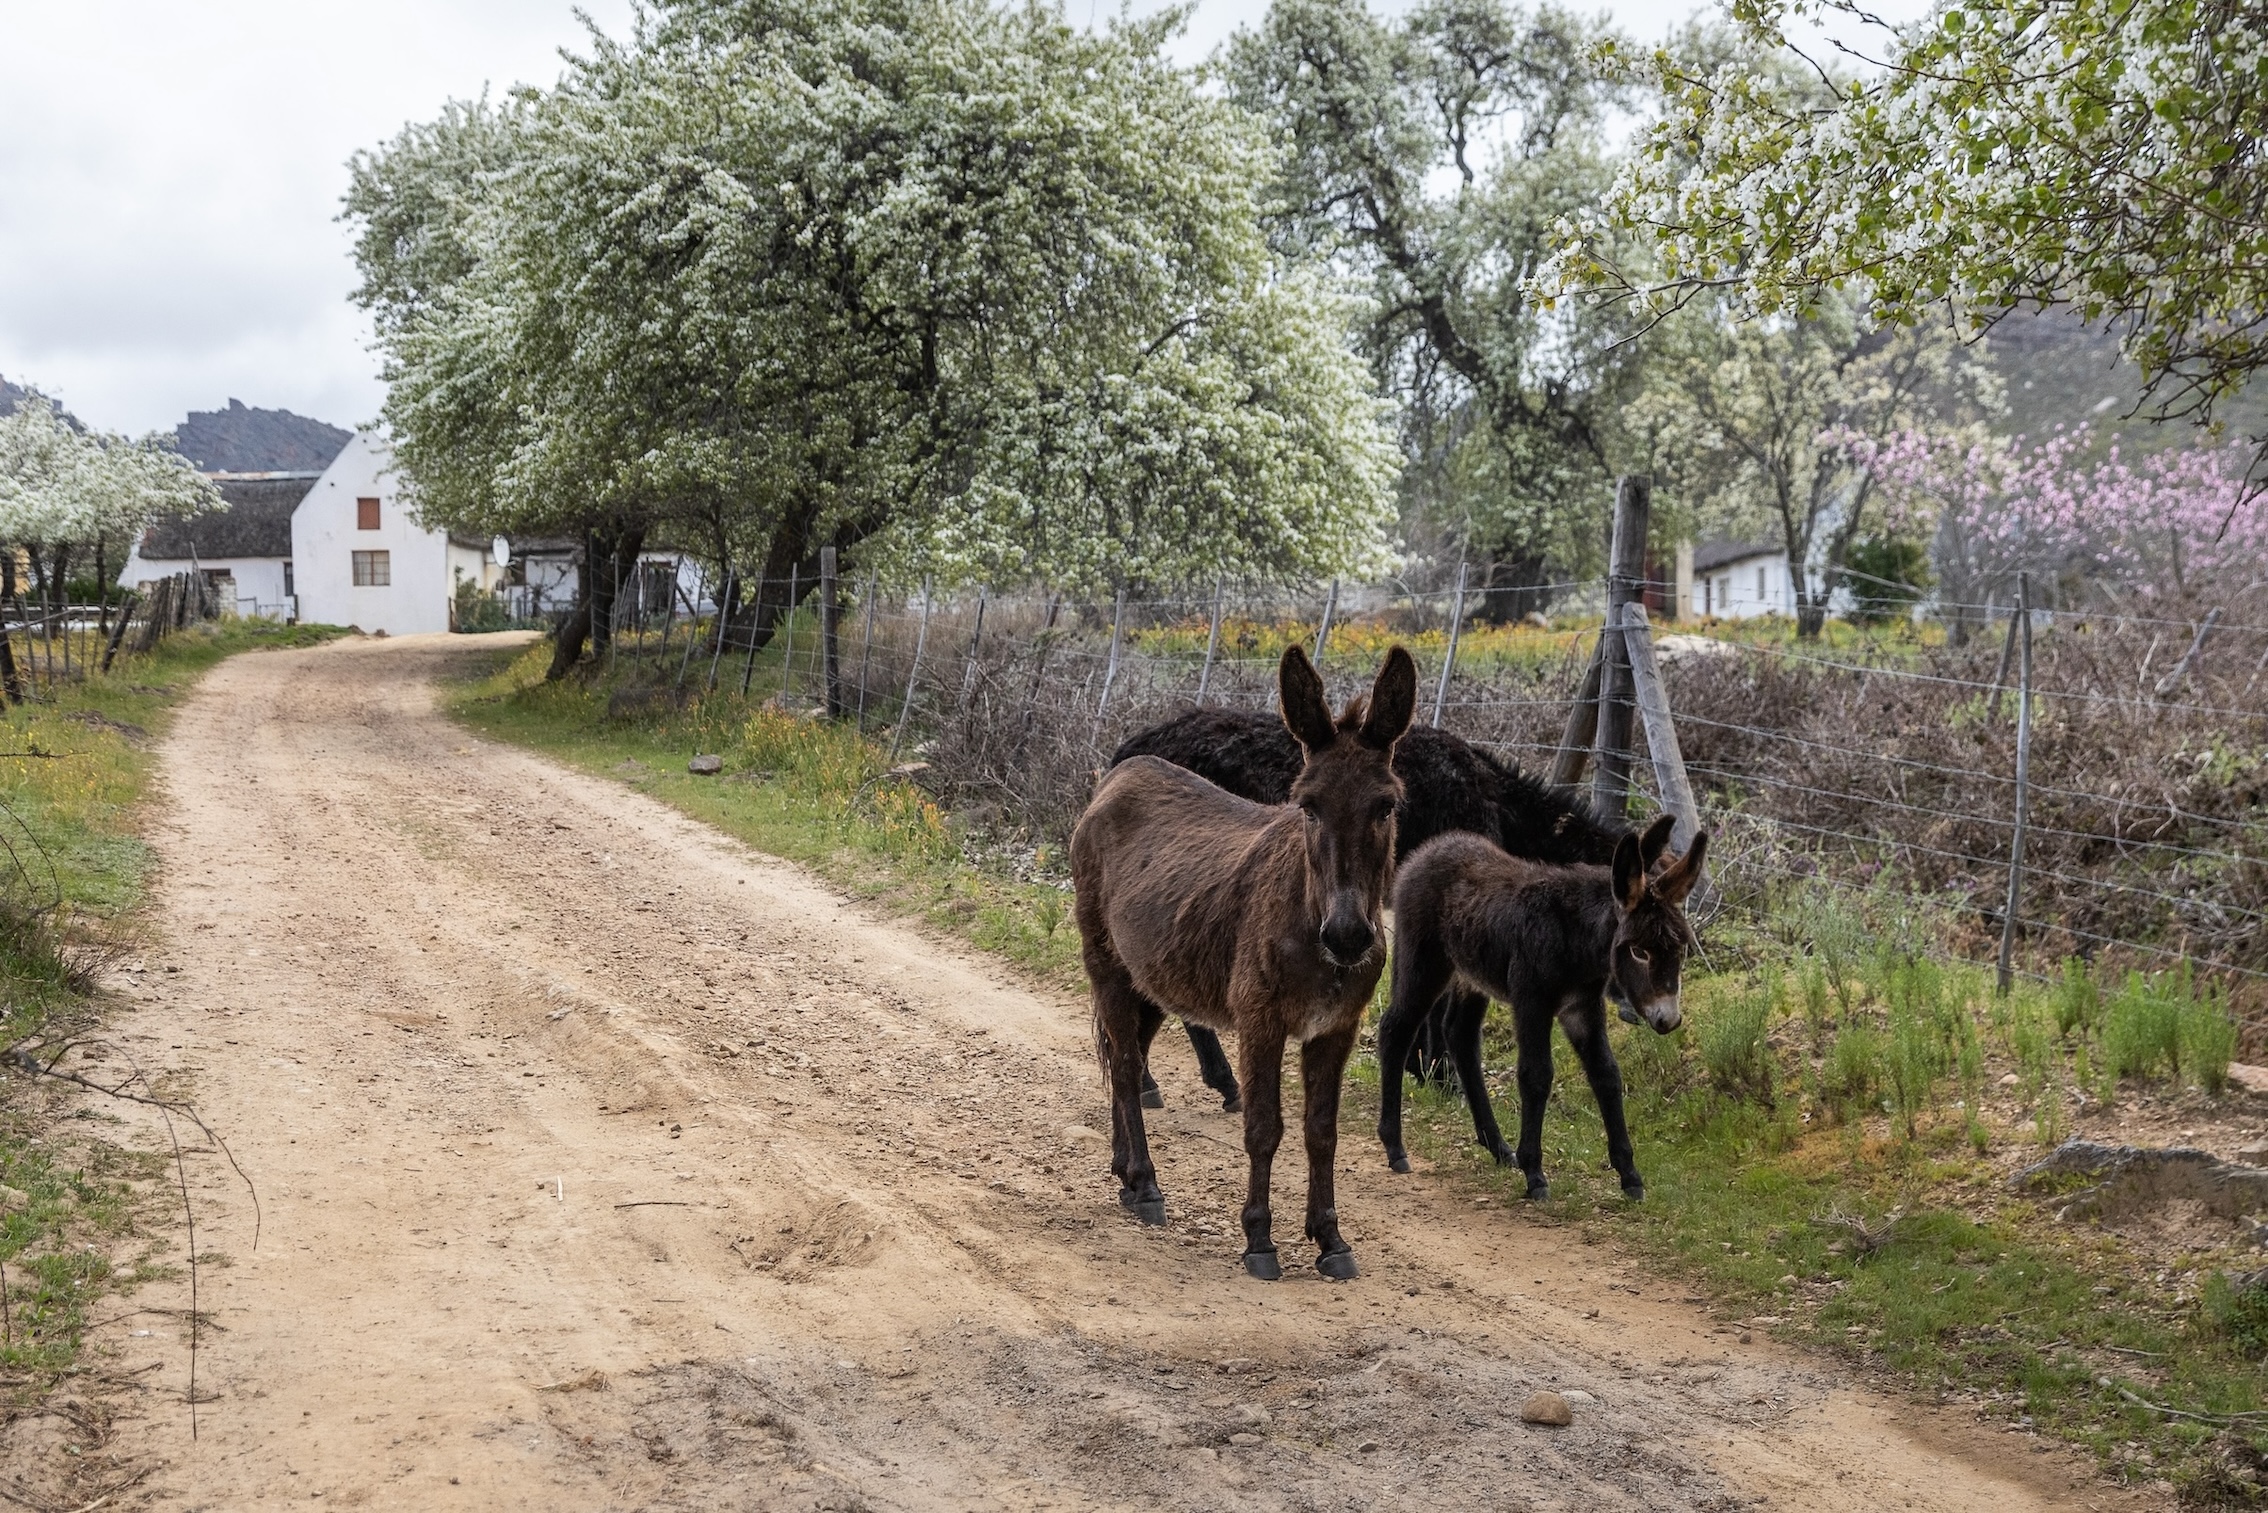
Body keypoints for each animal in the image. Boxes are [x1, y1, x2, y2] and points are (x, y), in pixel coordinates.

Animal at [1065, 644, 1415, 1288]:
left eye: (1386, 807)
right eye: (1307, 807)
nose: (1348, 935)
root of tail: (1122, 772)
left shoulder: (1336, 1029)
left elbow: (1321, 1133)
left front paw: (1330, 1240)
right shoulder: (1261, 1022)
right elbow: (1264, 1128)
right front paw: (1259, 1240)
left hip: (1151, 977)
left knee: (1134, 1055)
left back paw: (1125, 1170)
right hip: (1105, 963)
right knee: (1124, 1067)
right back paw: (1146, 1186)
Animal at [1360, 816, 1705, 1206]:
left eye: (1681, 949)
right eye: (1639, 952)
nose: (1668, 1020)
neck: (1575, 940)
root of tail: (1430, 849)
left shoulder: (1582, 1008)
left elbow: (1607, 1074)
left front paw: (1630, 1175)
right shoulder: (1532, 1001)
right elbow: (1536, 1075)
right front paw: (1535, 1173)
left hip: (1471, 976)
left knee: (1460, 1036)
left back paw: (1497, 1146)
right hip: (1426, 963)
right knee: (1396, 1029)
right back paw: (1395, 1147)